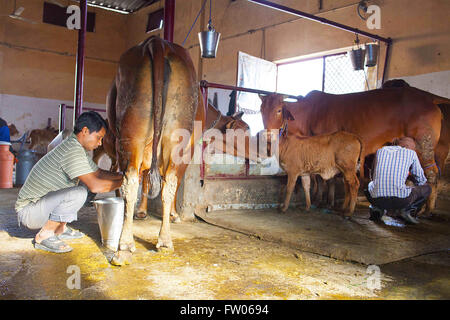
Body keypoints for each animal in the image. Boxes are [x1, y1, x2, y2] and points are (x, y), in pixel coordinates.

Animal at [260, 87, 442, 215]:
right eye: (261, 110)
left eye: (278, 110)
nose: (268, 135)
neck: (309, 114)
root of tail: (428, 97)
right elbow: (317, 178)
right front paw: (322, 200)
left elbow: (324, 179)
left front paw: (324, 201)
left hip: (423, 144)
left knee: (431, 173)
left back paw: (426, 210)